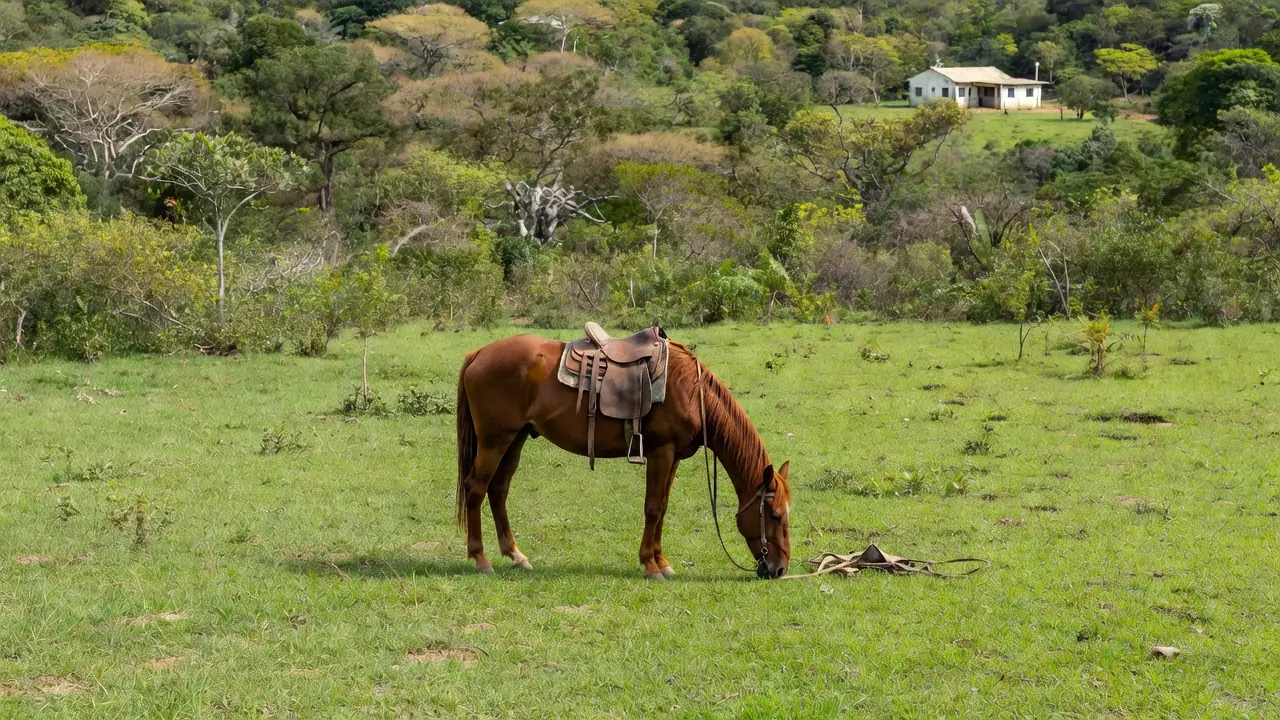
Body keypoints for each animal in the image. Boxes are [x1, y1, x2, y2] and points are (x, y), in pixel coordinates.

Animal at [455, 333, 793, 579]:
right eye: (775, 515)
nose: (779, 569)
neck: (693, 392)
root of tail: (479, 353)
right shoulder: (661, 451)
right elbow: (653, 508)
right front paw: (651, 565)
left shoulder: (674, 456)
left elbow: (663, 507)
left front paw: (662, 561)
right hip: (495, 441)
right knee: (476, 488)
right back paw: (481, 559)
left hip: (515, 439)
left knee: (498, 491)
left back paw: (516, 555)